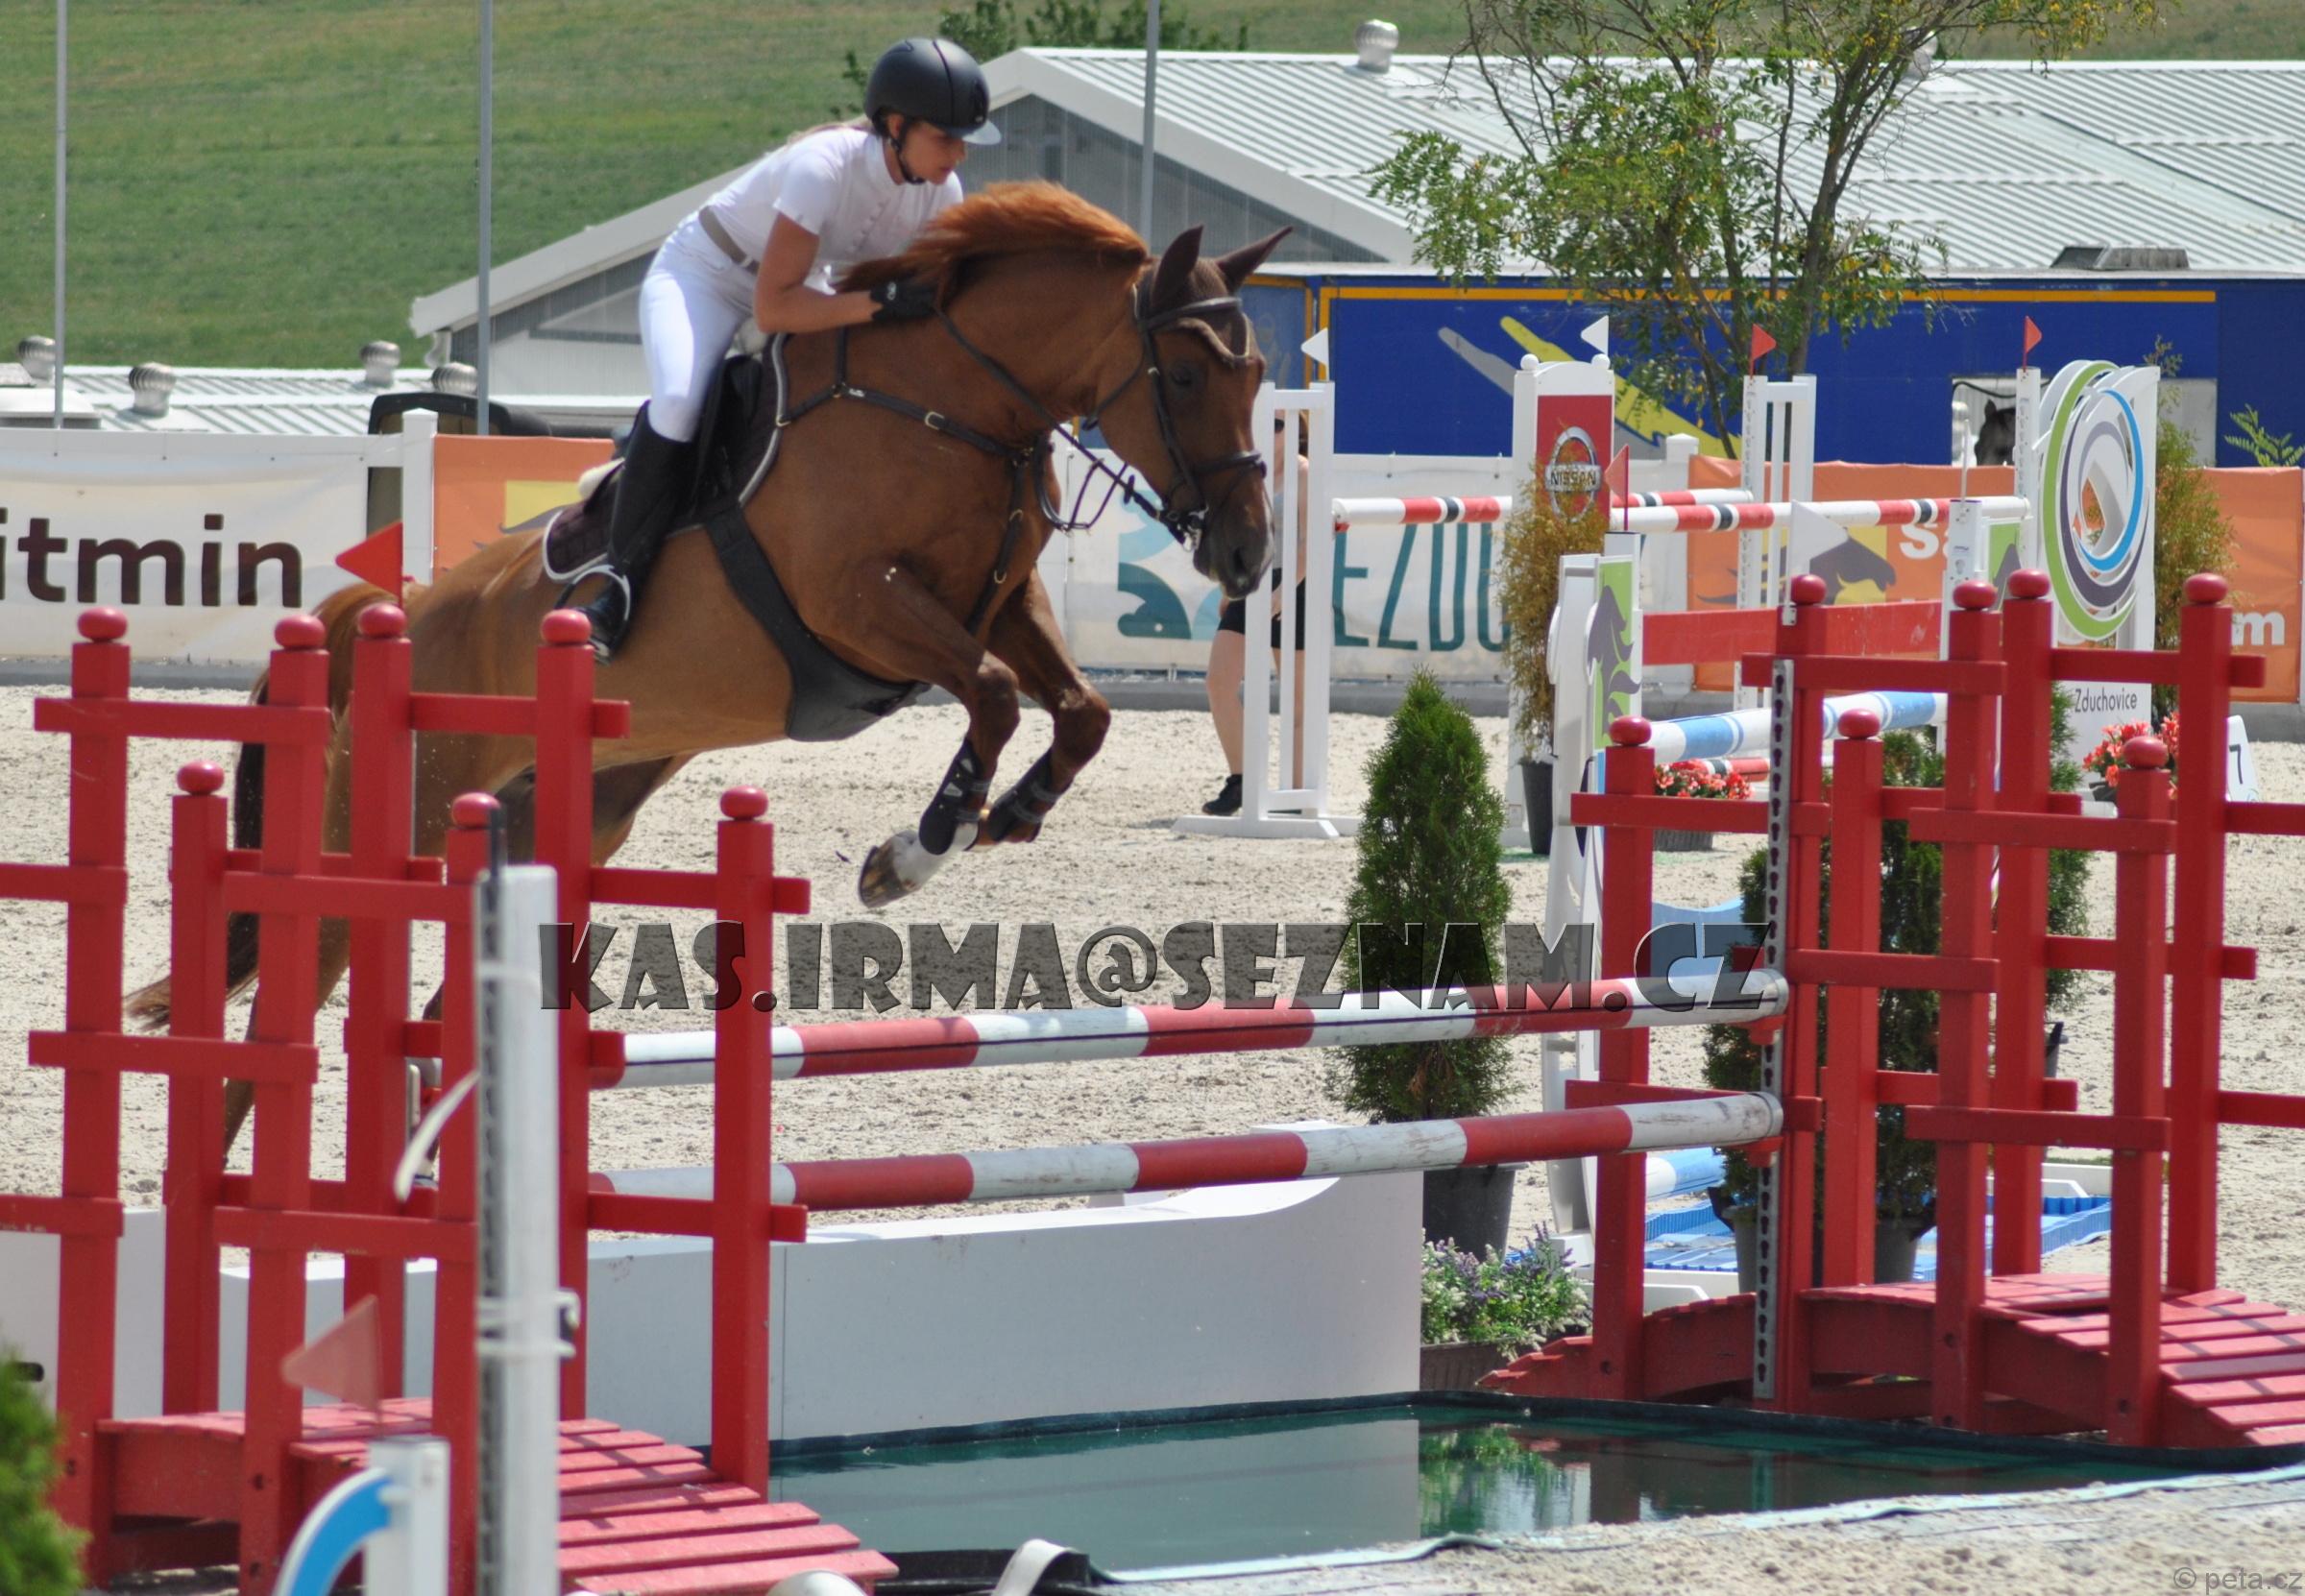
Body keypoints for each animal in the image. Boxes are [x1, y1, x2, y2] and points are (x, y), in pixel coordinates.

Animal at [128, 182, 1284, 1150]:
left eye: (1261, 374)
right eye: (1185, 374)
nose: (1247, 556)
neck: (954, 406)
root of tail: (391, 613)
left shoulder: (1000, 604)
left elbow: (1080, 713)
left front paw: (999, 820)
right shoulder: (857, 604)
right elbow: (997, 700)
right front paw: (914, 852)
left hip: (561, 814)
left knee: (446, 1014)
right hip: (396, 815)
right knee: (287, 1003)